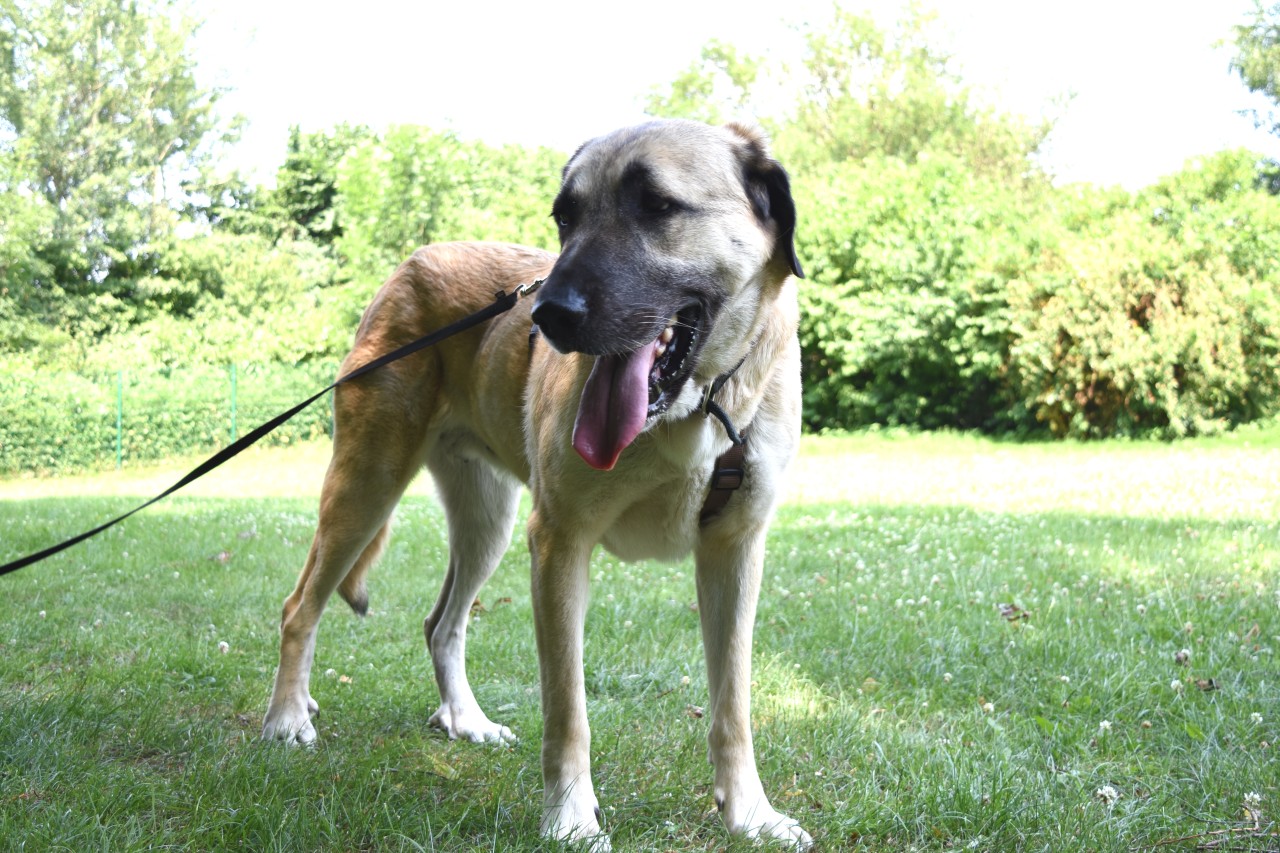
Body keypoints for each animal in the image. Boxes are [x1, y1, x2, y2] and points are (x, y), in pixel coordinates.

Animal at [262, 117, 808, 845]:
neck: (693, 411)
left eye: (656, 205)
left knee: (442, 623)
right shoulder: (558, 543)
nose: (548, 314)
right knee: (301, 606)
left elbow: (733, 704)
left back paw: (465, 719)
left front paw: (749, 813)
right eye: (564, 218)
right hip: (366, 487)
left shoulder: (735, 550)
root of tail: (410, 265)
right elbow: (568, 708)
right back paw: (287, 717)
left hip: (486, 521)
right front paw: (572, 818)